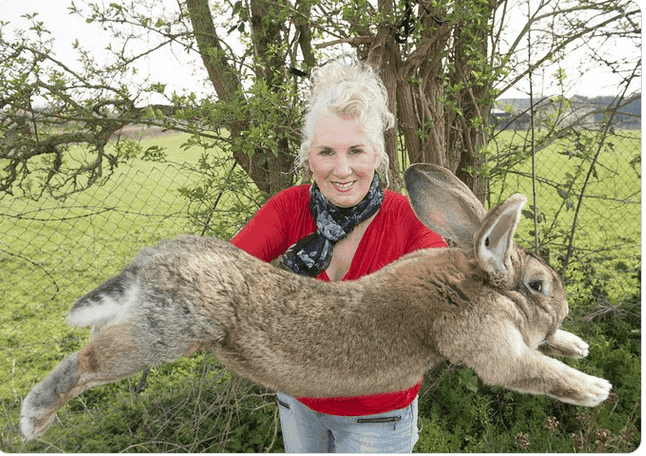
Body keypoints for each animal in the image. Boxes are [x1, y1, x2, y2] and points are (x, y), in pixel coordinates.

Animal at [17, 163, 612, 438]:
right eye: (538, 286)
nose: (563, 307)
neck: (473, 283)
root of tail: (150, 262)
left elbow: (545, 351)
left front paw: (576, 344)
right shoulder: (490, 345)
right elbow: (532, 370)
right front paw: (595, 388)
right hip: (165, 333)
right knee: (85, 362)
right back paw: (33, 420)